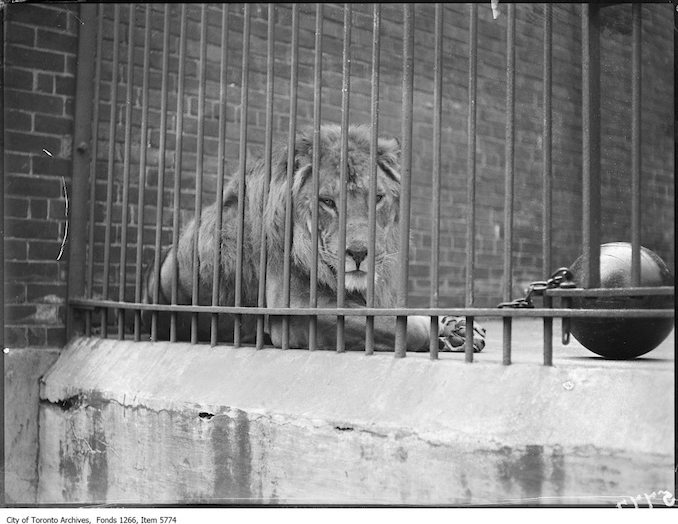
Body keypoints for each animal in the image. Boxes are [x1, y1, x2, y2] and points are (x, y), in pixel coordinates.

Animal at [143, 124, 486, 352]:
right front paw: (440, 333)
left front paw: (455, 328)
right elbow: (397, 326)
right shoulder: (292, 309)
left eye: (377, 198)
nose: (359, 252)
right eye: (328, 202)